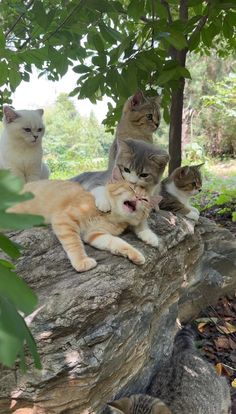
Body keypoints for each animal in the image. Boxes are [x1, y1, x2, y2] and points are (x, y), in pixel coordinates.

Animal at [8, 167, 161, 274]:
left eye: (145, 199)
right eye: (130, 188)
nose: (138, 198)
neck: (111, 216)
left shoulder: (95, 234)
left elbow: (117, 242)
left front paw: (134, 254)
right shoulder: (65, 219)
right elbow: (75, 244)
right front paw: (82, 261)